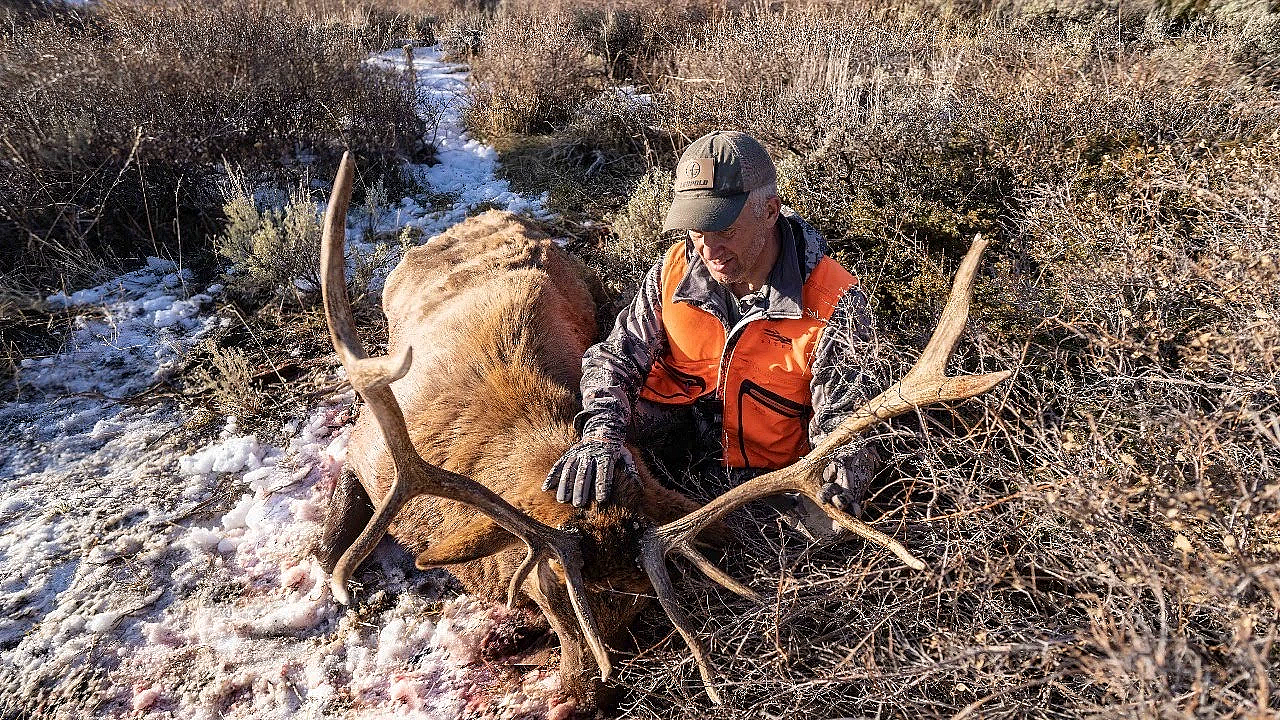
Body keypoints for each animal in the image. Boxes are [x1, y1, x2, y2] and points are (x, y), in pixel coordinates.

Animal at [315, 151, 1012, 710]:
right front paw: (338, 581)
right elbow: (337, 516)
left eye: (640, 607)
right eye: (552, 593)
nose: (580, 699)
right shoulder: (366, 443)